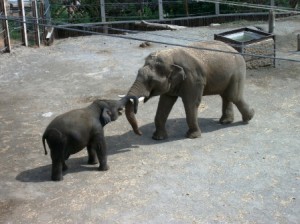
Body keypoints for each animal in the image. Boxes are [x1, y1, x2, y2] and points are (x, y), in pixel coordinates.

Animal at [125, 39, 254, 139]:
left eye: (151, 80)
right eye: (138, 72)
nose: (140, 133)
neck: (171, 56)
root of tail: (236, 50)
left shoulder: (194, 79)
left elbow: (190, 103)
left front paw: (192, 136)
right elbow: (165, 103)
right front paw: (158, 138)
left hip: (237, 72)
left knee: (233, 96)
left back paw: (249, 117)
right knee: (226, 95)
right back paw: (226, 121)